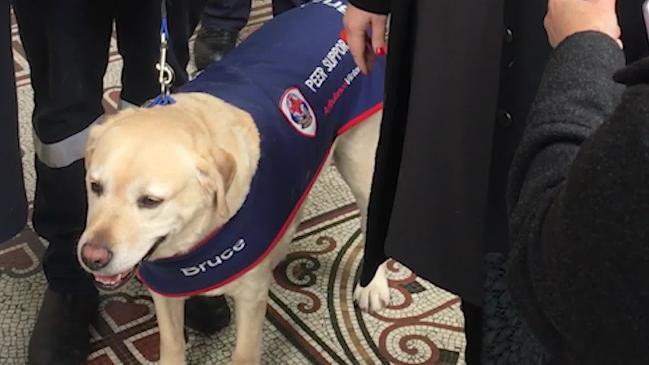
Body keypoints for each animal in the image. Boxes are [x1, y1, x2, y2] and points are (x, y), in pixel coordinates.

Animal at [77, 1, 390, 362]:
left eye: (150, 201)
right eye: (95, 186)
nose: (91, 257)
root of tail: (332, 7)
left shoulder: (250, 296)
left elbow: (244, 352)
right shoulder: (166, 290)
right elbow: (172, 344)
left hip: (361, 163)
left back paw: (373, 285)